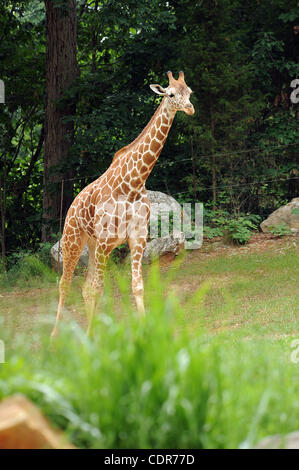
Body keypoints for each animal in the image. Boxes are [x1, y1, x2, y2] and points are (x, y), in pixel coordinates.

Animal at [51, 70, 195, 338]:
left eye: (189, 92)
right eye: (171, 94)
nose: (190, 108)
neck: (134, 183)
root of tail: (72, 205)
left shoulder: (137, 237)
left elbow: (136, 286)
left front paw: (145, 332)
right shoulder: (108, 240)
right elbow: (99, 288)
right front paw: (90, 336)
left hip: (92, 243)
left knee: (84, 286)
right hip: (73, 239)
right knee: (65, 283)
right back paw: (55, 337)